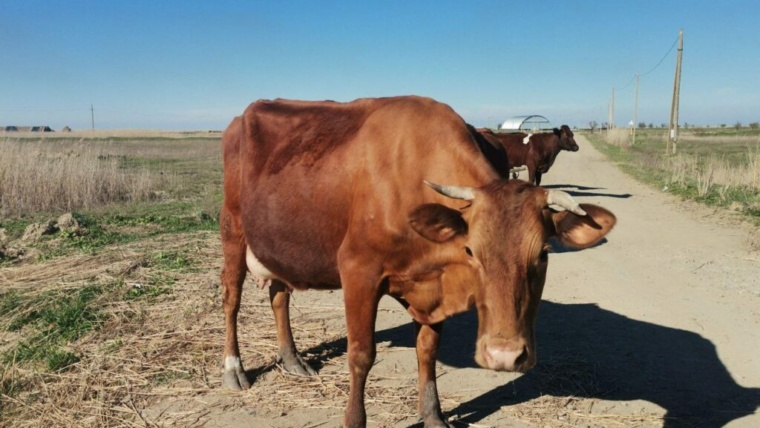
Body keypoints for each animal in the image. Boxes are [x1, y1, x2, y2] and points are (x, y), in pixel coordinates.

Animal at [220, 96, 616, 428]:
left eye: (543, 254)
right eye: (471, 251)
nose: (504, 356)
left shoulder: (433, 286)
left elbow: (427, 351)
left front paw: (433, 415)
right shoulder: (358, 272)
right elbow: (361, 355)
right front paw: (354, 419)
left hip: (277, 242)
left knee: (279, 295)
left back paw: (291, 359)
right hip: (233, 229)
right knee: (231, 300)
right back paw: (234, 369)